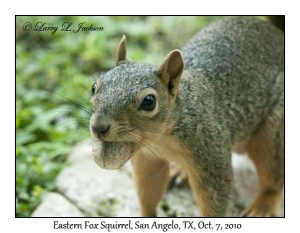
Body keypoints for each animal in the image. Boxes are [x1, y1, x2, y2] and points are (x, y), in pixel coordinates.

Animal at [88, 15, 284, 217]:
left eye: (149, 101)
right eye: (94, 87)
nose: (98, 127)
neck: (161, 139)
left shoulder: (211, 154)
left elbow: (216, 196)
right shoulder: (147, 159)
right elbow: (148, 191)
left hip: (274, 132)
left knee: (272, 176)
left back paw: (263, 207)